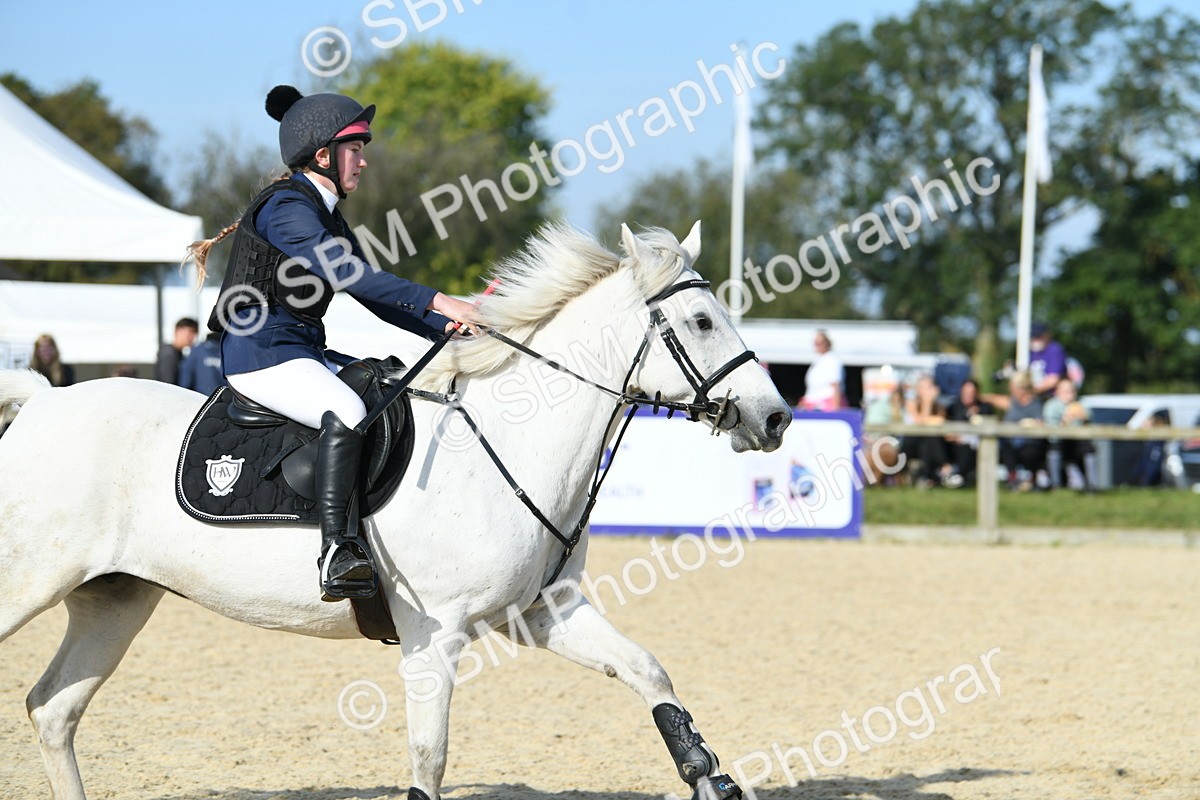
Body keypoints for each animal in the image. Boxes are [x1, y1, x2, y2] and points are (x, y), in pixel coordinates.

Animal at [0, 222, 791, 800]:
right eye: (702, 320)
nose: (776, 417)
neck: (508, 440)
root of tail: (42, 400)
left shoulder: (544, 613)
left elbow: (649, 672)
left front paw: (709, 776)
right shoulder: (435, 632)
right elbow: (429, 753)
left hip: (116, 599)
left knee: (53, 710)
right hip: (30, 583)